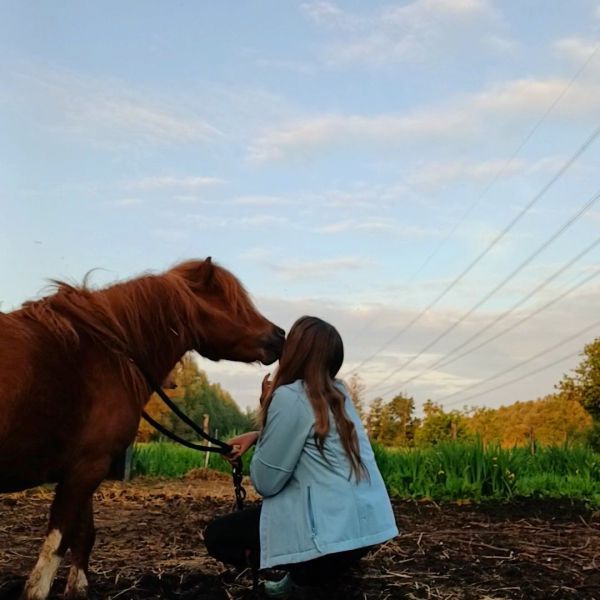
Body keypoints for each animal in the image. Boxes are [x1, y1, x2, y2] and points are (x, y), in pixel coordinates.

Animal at [0, 258, 284, 600]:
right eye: (235, 303)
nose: (280, 335)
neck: (101, 355)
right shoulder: (86, 469)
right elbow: (55, 550)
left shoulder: (84, 469)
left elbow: (84, 538)